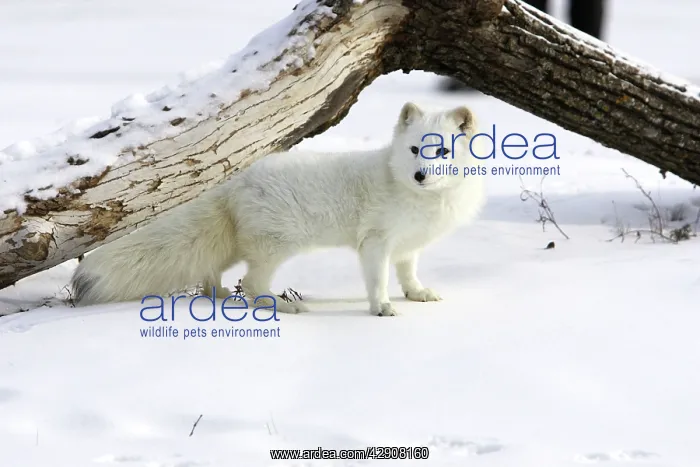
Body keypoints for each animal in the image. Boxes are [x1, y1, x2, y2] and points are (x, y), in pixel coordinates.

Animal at [71, 102, 486, 316]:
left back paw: (217, 295)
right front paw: (382, 309)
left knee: (209, 272)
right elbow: (379, 279)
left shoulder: (407, 245)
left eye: (442, 150)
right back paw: (282, 308)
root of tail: (234, 182)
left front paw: (418, 294)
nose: (420, 175)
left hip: (239, 246)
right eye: (416, 149)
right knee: (253, 285)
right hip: (276, 246)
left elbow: (408, 274)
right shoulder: (375, 242)